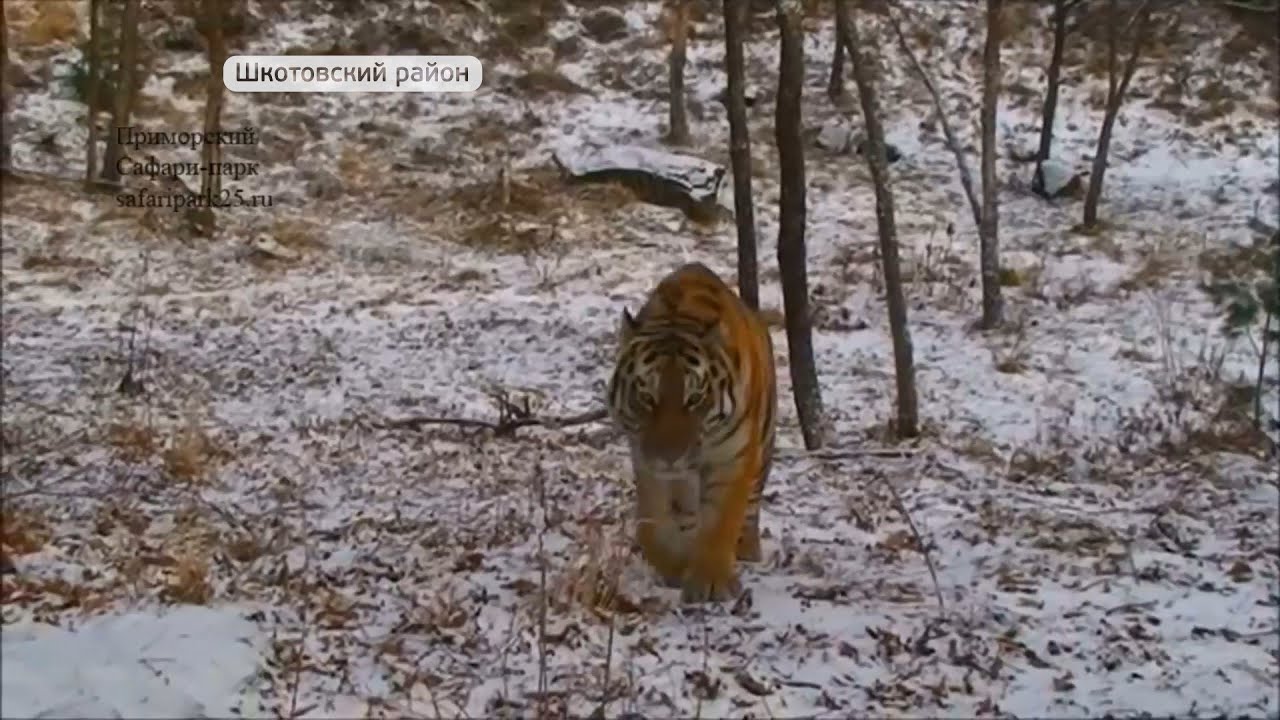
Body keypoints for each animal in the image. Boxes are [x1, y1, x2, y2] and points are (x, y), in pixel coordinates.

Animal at [606, 261, 778, 603]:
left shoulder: (732, 459)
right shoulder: (647, 462)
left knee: (752, 505)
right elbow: (653, 526)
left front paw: (711, 581)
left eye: (695, 399)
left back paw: (747, 549)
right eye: (647, 397)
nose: (671, 456)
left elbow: (721, 522)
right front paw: (675, 566)